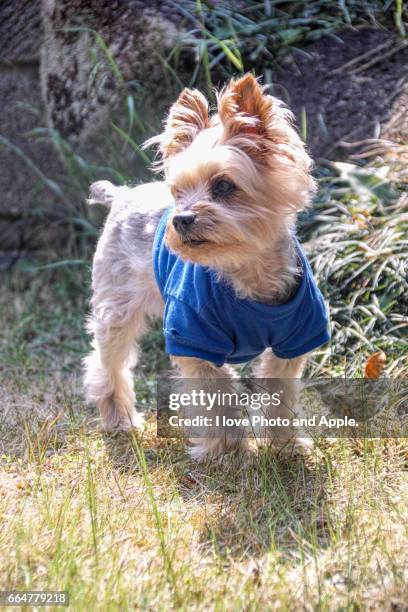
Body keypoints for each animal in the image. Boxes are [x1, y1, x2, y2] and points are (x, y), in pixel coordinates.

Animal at [83, 73, 328, 460]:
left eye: (224, 185)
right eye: (178, 192)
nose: (180, 219)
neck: (246, 271)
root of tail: (122, 194)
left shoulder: (295, 338)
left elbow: (281, 392)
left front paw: (286, 445)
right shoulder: (193, 336)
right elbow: (217, 391)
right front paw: (226, 452)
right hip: (117, 303)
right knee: (107, 360)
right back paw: (119, 419)